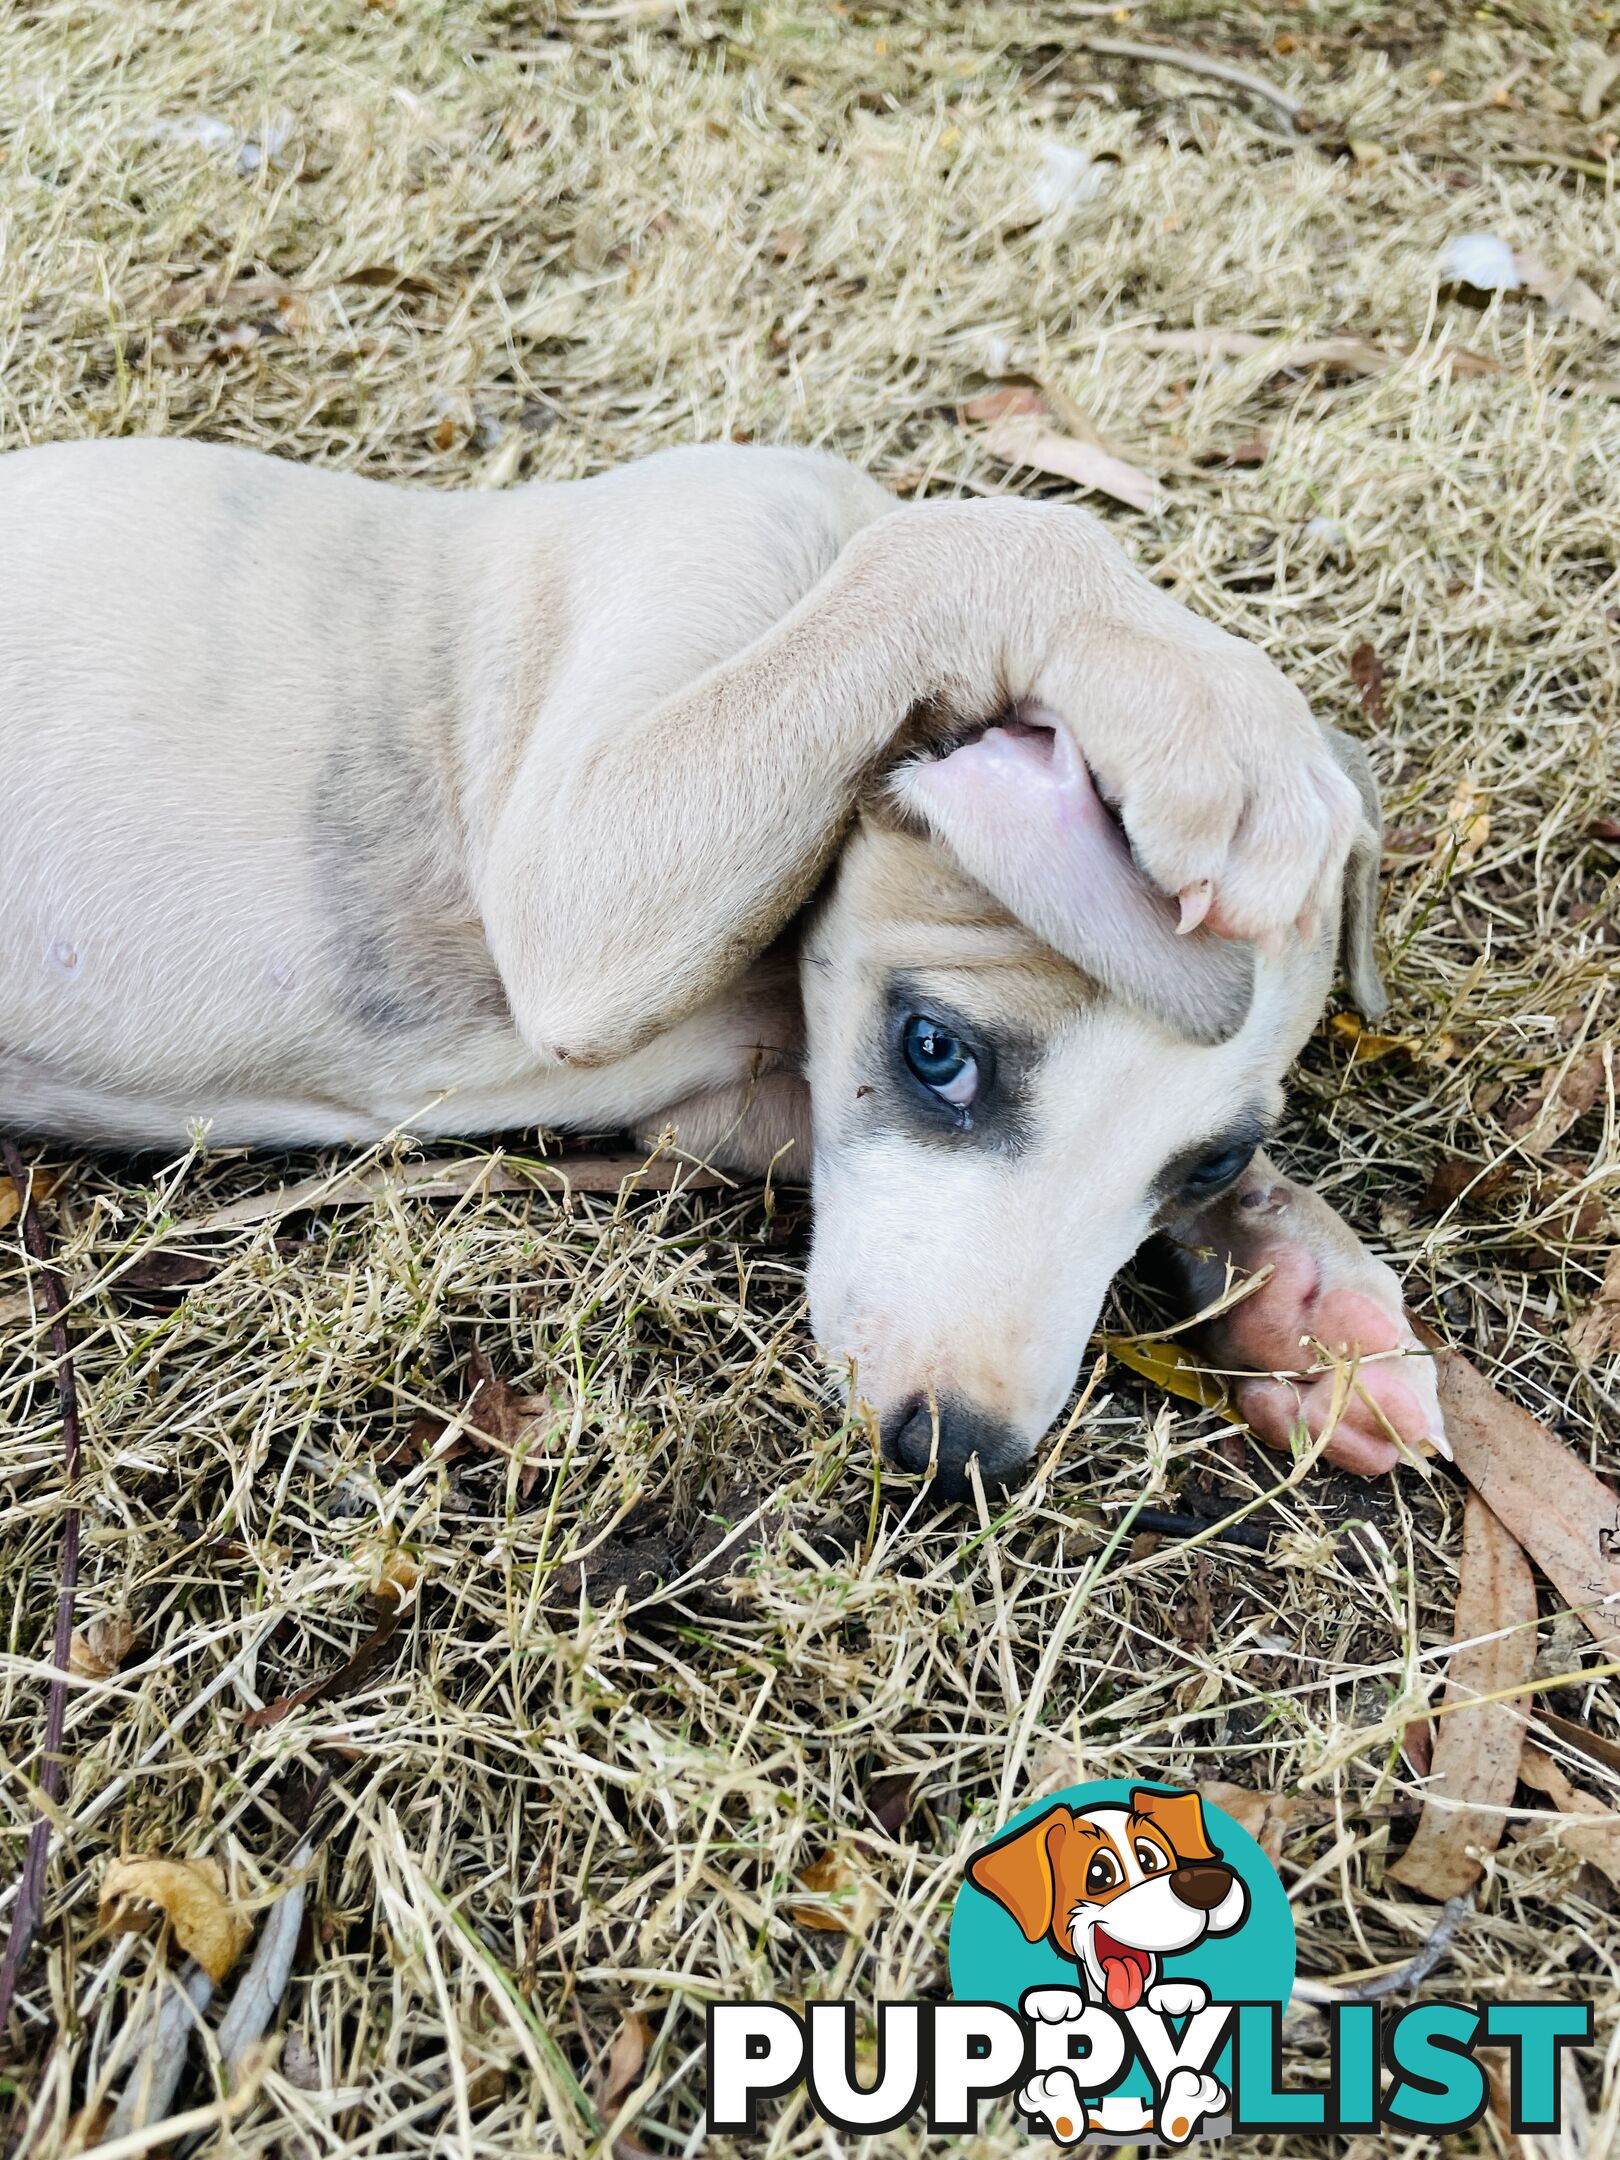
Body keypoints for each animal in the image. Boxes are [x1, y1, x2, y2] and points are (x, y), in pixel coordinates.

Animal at [0, 432, 1442, 1494]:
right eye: (937, 1054)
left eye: (1207, 1160)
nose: (956, 1455)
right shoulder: (585, 867)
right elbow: (990, 531)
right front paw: (1221, 729)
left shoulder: (723, 1107)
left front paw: (1308, 1303)